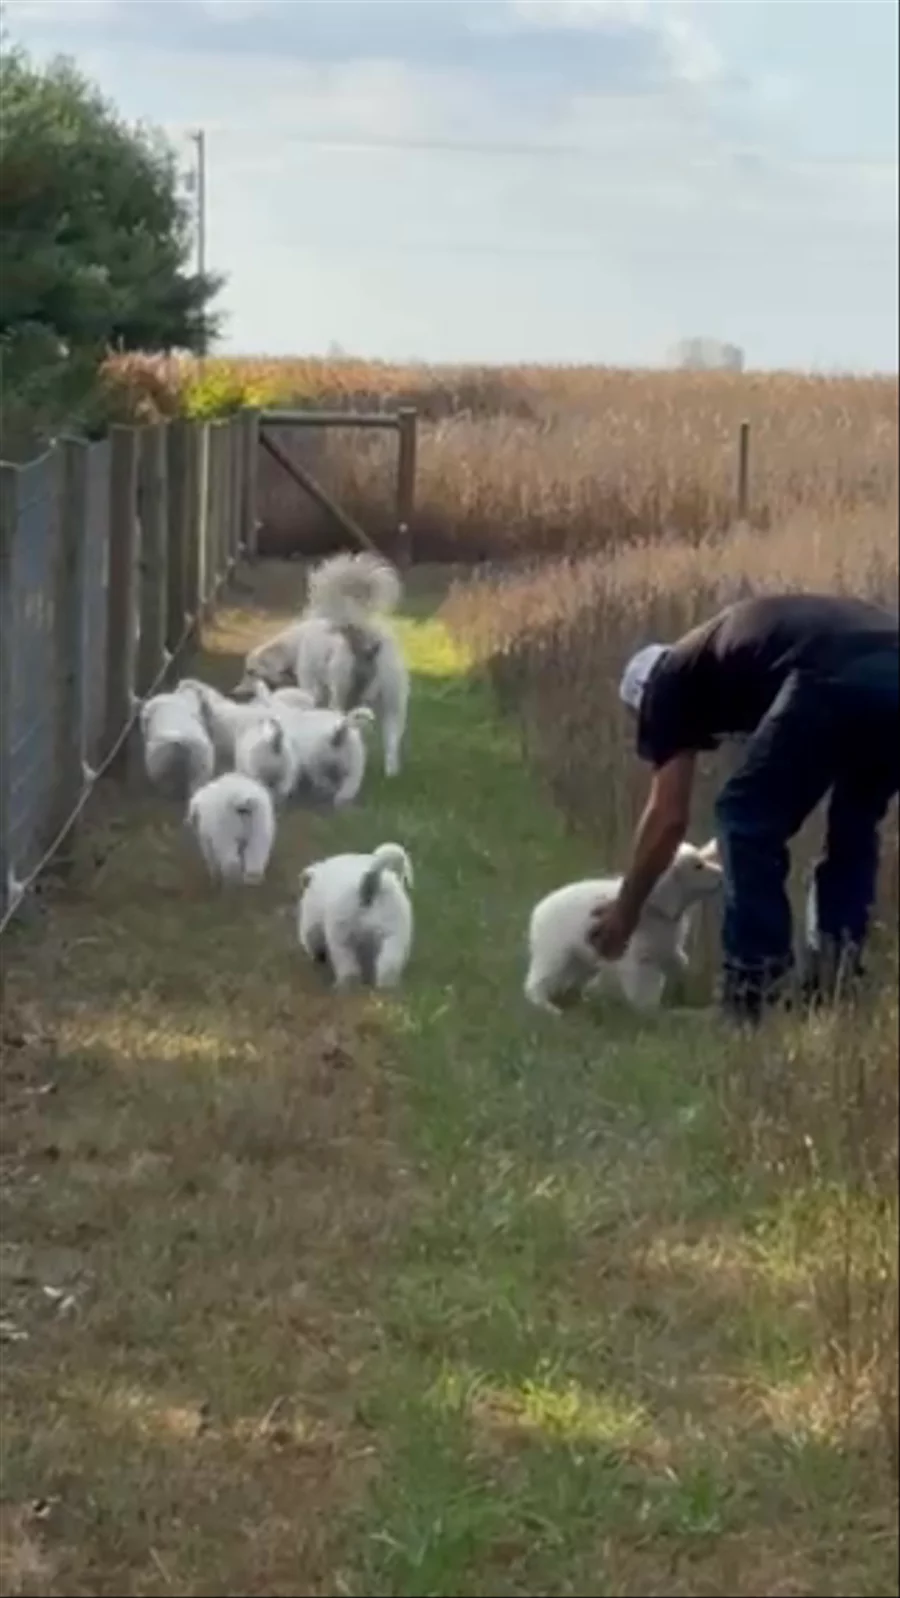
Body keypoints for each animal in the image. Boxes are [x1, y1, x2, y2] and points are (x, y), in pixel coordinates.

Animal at [297, 843, 413, 989]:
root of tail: (370, 884)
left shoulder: (312, 919)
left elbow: (311, 938)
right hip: (394, 932)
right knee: (388, 966)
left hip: (342, 934)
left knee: (348, 968)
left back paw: (343, 986)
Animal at [524, 840, 723, 1015]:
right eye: (697, 866)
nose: (721, 874)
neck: (653, 905)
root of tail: (537, 912)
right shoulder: (639, 959)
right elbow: (644, 988)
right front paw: (650, 1012)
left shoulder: (665, 946)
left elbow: (678, 961)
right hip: (555, 955)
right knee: (537, 982)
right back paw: (548, 1008)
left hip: (579, 958)